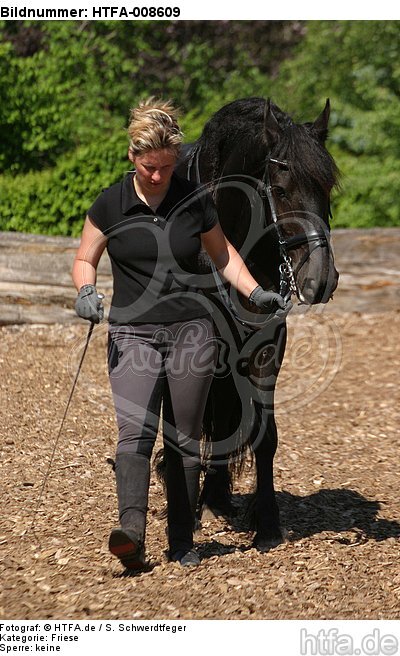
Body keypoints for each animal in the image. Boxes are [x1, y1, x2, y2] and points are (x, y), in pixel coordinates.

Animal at [174, 97, 340, 551]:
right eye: (280, 190)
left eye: (327, 188)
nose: (321, 279)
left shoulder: (267, 344)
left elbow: (265, 433)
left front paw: (266, 522)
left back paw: (216, 498)